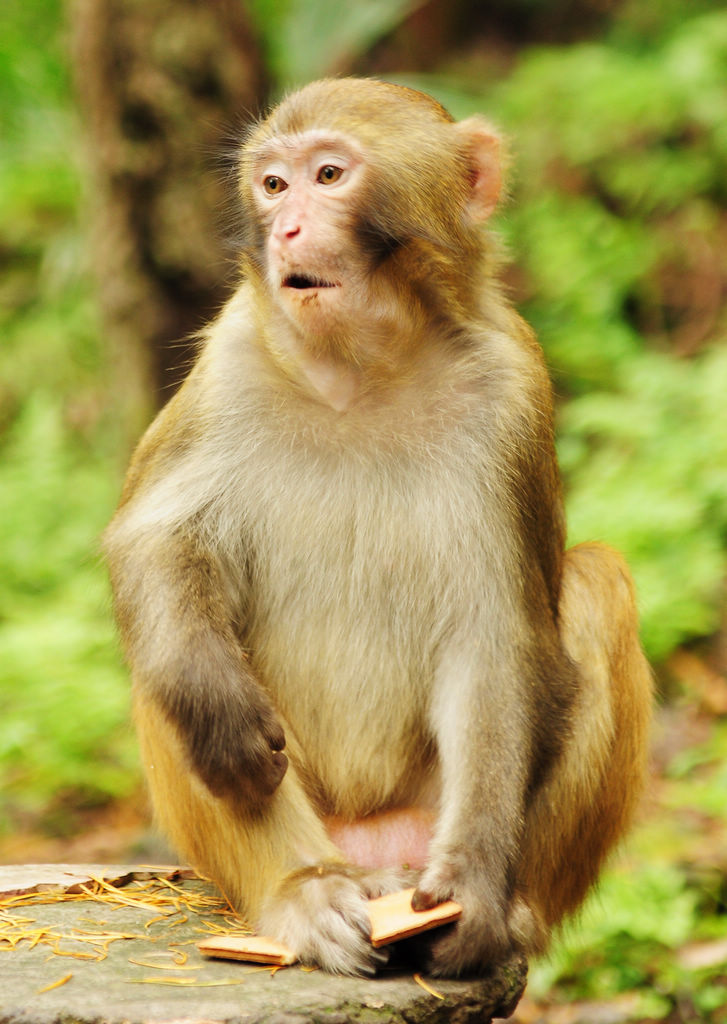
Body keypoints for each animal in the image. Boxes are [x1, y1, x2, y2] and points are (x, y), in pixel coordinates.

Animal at [103, 77, 655, 974]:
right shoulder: (232, 356)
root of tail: (371, 843)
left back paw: (509, 911)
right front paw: (215, 705)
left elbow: (494, 637)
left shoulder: (512, 389)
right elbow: (154, 541)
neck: (361, 368)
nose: (287, 228)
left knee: (599, 581)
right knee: (172, 653)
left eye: (329, 175)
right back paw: (303, 891)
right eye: (273, 185)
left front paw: (470, 884)